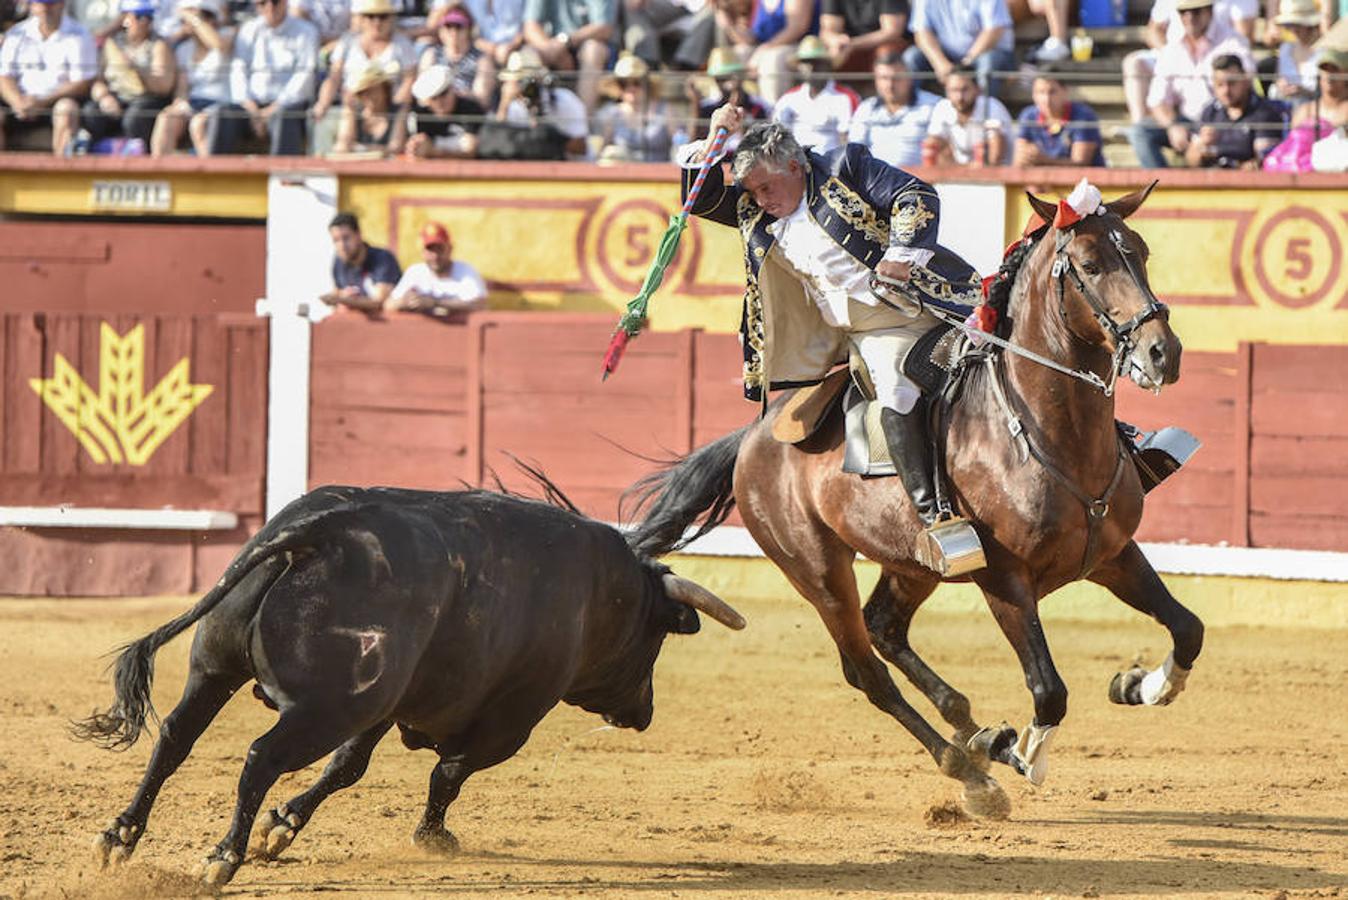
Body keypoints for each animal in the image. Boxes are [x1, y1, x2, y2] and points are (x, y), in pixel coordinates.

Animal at [76, 485, 749, 883]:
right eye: (656, 637)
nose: (644, 711)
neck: (596, 588)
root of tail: (323, 530)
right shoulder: (511, 721)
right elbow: (447, 775)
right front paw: (433, 837)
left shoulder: (385, 707)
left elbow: (347, 769)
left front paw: (282, 826)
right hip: (327, 707)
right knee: (261, 755)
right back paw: (222, 858)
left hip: (217, 671)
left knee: (175, 738)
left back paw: (119, 837)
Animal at [620, 180, 1202, 813]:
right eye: (1091, 266)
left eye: (1141, 252)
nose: (1162, 353)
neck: (1047, 431)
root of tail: (754, 436)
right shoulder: (1004, 580)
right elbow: (1049, 689)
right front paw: (1027, 756)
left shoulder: (1114, 555)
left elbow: (1188, 628)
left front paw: (1139, 685)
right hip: (818, 572)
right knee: (865, 669)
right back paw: (971, 768)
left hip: (912, 563)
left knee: (885, 627)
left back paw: (976, 732)